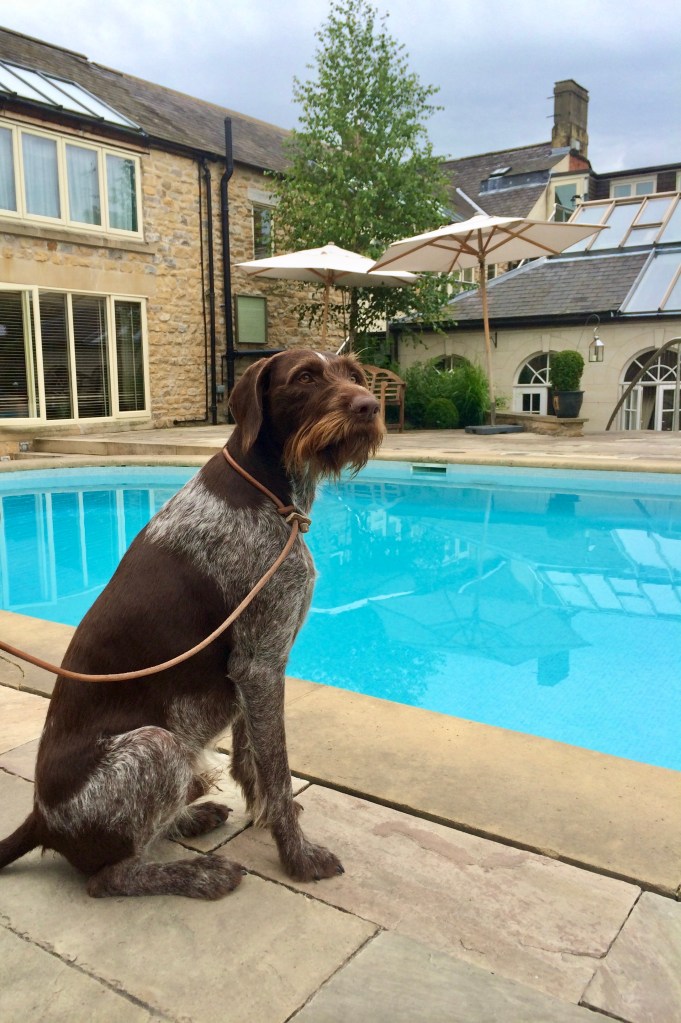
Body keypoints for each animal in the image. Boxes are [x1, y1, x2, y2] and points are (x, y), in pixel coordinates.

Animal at [0, 350, 383, 899]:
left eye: (353, 374)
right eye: (306, 378)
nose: (370, 406)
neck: (267, 493)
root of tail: (40, 819)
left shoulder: (256, 667)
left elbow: (252, 759)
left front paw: (264, 816)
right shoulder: (260, 664)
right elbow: (278, 769)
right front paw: (296, 853)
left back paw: (189, 819)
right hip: (158, 746)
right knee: (108, 877)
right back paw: (199, 872)